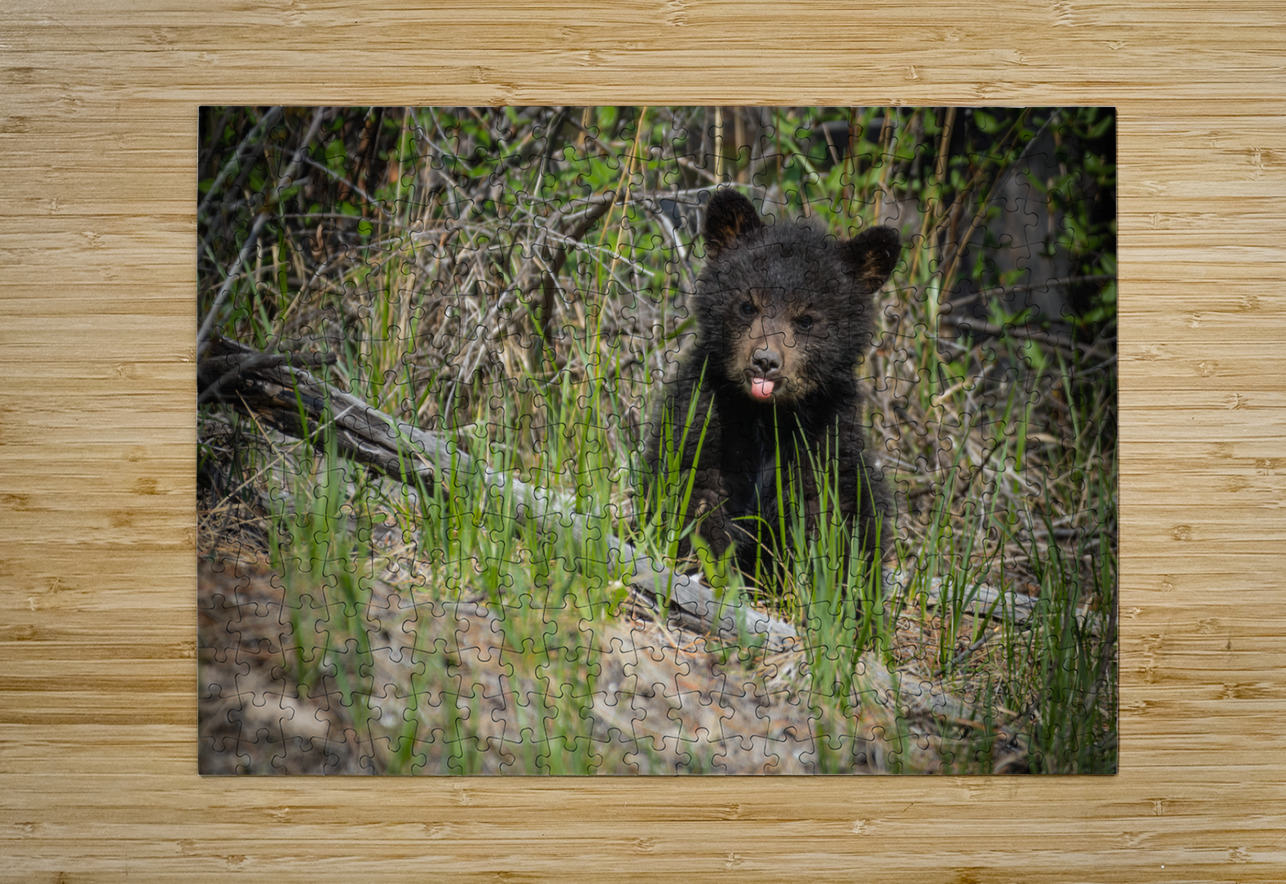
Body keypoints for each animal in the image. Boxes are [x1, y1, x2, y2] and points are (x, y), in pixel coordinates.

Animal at [642, 188, 900, 585]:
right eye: (748, 305)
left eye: (806, 319)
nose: (765, 360)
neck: (768, 417)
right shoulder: (705, 416)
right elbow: (695, 491)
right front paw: (711, 565)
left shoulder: (825, 437)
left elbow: (825, 513)